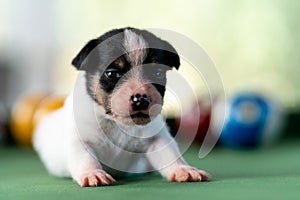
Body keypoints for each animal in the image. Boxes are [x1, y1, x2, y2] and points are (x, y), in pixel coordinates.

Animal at [32, 27, 210, 187]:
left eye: (158, 73)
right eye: (112, 74)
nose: (141, 99)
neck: (118, 124)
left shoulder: (157, 139)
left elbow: (170, 154)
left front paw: (183, 169)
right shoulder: (80, 139)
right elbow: (85, 158)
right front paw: (92, 173)